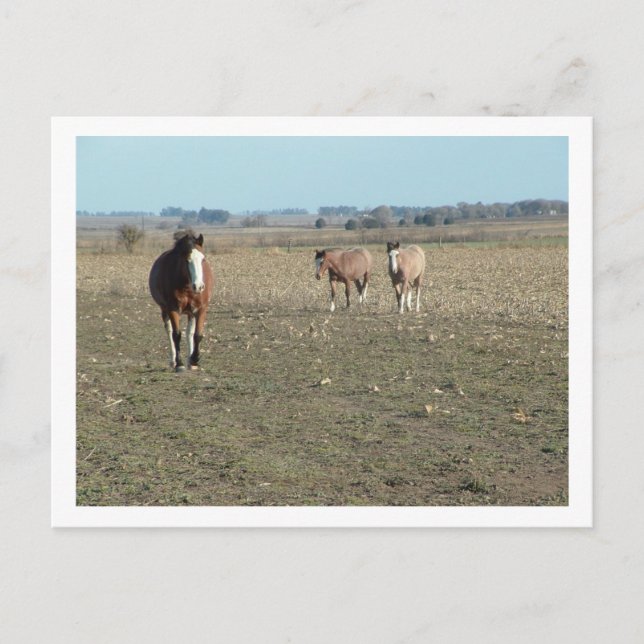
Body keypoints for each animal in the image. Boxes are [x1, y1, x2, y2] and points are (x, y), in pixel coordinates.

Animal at [149, 233, 214, 372]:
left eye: (203, 259)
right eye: (187, 260)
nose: (199, 286)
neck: (187, 286)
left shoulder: (201, 309)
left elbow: (197, 335)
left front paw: (194, 360)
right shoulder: (173, 309)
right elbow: (176, 335)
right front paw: (179, 364)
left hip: (191, 313)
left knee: (189, 332)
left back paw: (190, 361)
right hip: (164, 310)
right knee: (169, 331)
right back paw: (173, 361)